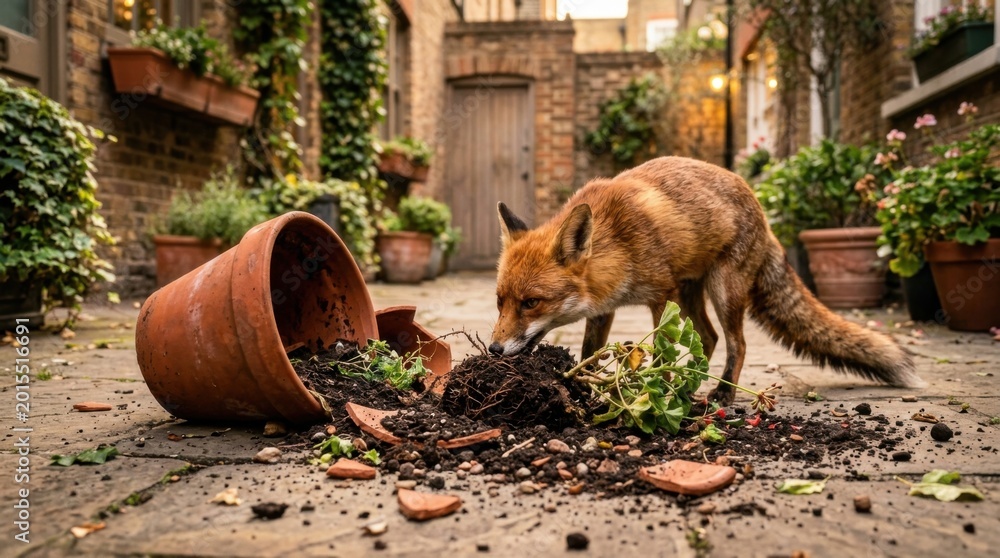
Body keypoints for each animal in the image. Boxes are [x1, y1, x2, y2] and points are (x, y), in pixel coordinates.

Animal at [489, 156, 923, 404]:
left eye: (531, 302)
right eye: (499, 301)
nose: (493, 350)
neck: (617, 243)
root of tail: (763, 213)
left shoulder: (660, 295)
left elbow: (662, 353)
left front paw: (653, 391)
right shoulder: (603, 309)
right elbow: (587, 353)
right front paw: (583, 385)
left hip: (721, 291)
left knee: (736, 344)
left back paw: (722, 393)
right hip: (691, 293)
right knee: (710, 338)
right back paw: (692, 384)